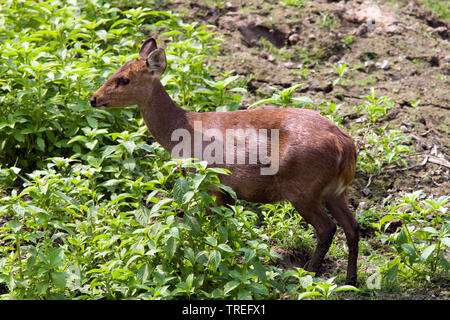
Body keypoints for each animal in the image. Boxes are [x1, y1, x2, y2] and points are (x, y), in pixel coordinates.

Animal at [89, 37, 360, 284]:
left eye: (124, 79)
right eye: (115, 71)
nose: (93, 98)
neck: (183, 129)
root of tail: (345, 146)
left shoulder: (210, 183)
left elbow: (207, 229)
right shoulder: (227, 192)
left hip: (302, 189)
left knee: (327, 228)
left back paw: (308, 274)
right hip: (335, 191)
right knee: (352, 228)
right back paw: (350, 280)